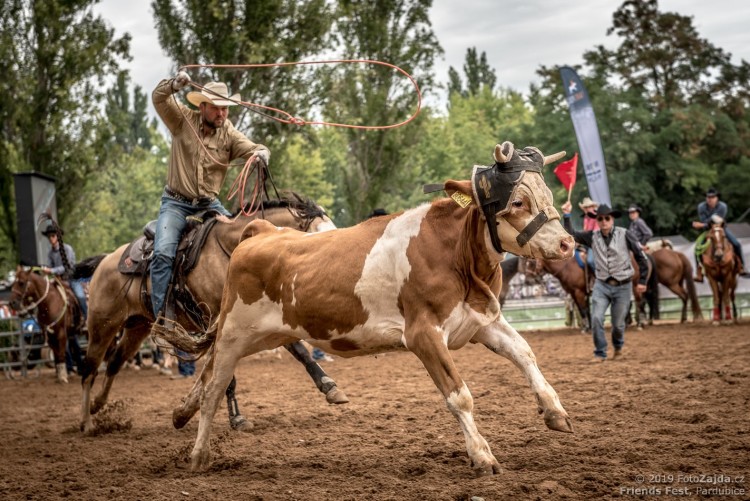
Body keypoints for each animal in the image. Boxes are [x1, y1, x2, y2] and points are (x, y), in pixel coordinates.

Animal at [73, 195, 350, 434]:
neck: (230, 250)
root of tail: (105, 261)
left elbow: (301, 352)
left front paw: (330, 387)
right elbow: (226, 375)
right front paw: (236, 417)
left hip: (136, 327)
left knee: (114, 362)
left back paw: (98, 405)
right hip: (101, 326)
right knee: (89, 370)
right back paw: (86, 422)